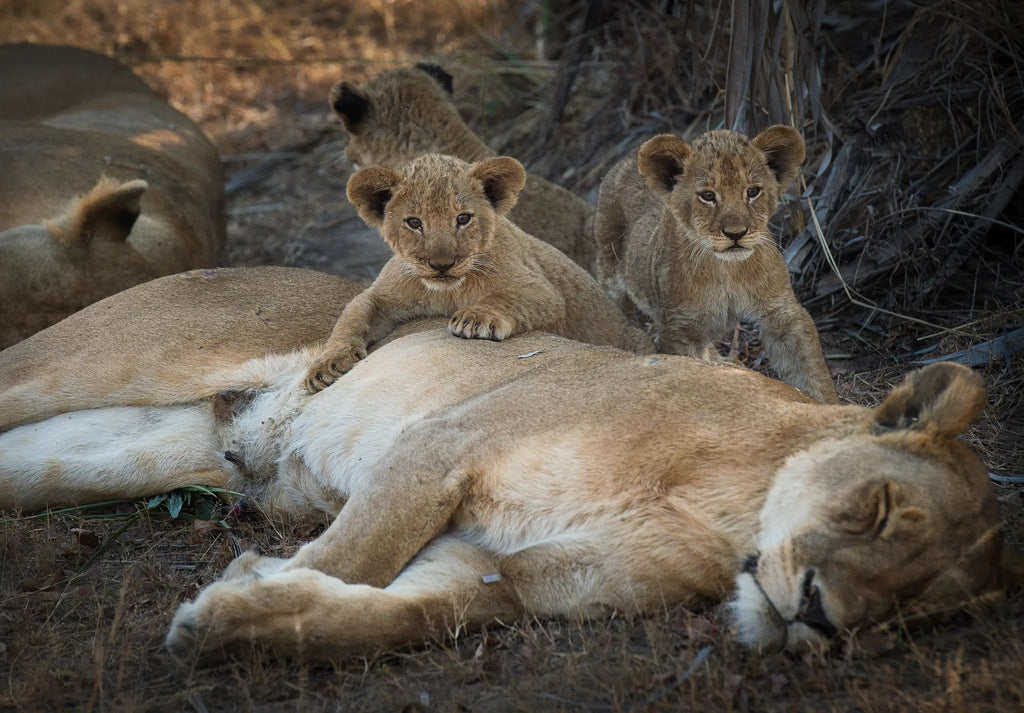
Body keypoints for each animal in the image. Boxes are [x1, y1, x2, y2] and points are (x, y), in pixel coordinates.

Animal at [0, 266, 1018, 660]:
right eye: (877, 509)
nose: (818, 616)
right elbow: (350, 557)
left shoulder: (503, 570)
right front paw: (233, 594)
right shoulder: (443, 446)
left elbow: (391, 613)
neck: (731, 507)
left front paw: (242, 617)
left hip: (116, 451)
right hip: (96, 358)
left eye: (914, 610)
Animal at [304, 152, 652, 392]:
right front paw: (324, 366)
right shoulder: (382, 294)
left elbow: (505, 298)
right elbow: (352, 315)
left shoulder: (544, 291)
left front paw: (474, 318)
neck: (449, 292)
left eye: (463, 218)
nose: (441, 265)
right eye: (414, 222)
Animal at [594, 126, 838, 403]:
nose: (736, 233)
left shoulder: (782, 311)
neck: (727, 270)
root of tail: (626, 159)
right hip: (609, 264)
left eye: (752, 191)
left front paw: (829, 405)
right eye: (708, 195)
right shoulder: (681, 328)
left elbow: (809, 368)